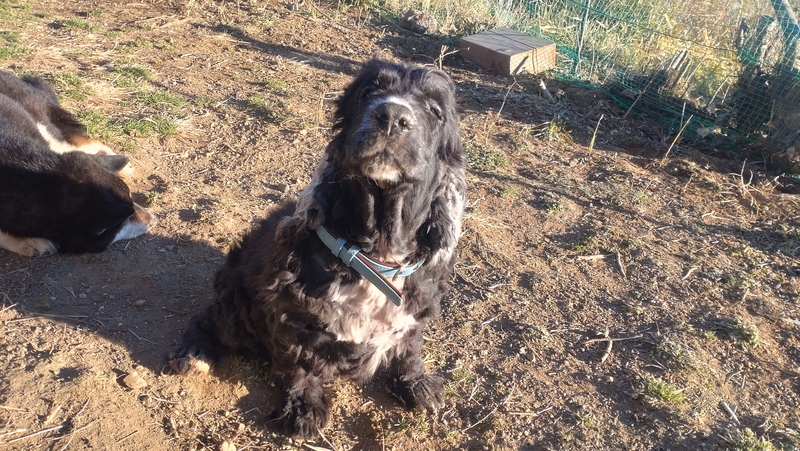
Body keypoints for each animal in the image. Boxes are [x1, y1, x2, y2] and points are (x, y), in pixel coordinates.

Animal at [169, 59, 466, 437]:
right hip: (235, 311)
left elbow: (410, 348)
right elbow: (298, 364)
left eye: (435, 110)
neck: (377, 254)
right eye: (368, 93)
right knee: (206, 317)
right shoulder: (291, 314)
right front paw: (303, 408)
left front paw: (416, 384)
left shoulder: (416, 312)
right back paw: (194, 352)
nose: (391, 116)